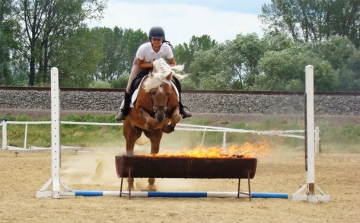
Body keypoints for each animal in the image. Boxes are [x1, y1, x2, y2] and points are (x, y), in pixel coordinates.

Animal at [122, 57, 187, 190]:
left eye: (168, 93)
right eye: (152, 93)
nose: (161, 117)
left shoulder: (175, 107)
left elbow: (176, 116)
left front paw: (167, 127)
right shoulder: (140, 109)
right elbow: (150, 120)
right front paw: (150, 125)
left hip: (156, 139)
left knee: (154, 151)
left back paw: (151, 184)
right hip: (130, 134)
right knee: (130, 150)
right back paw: (131, 185)